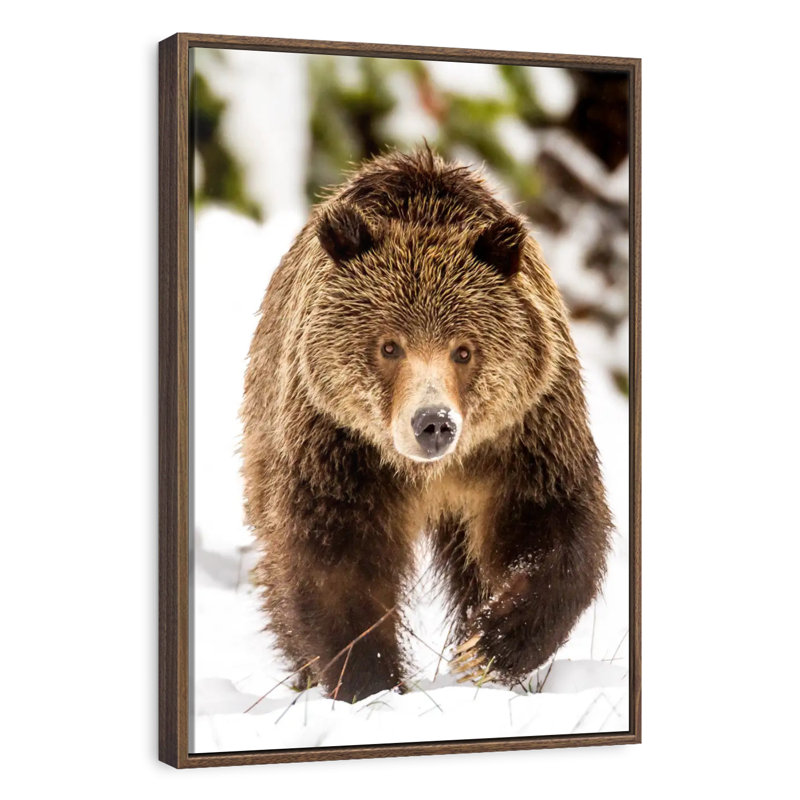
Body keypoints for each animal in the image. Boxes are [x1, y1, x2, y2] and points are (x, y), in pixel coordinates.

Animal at [241, 148, 612, 702]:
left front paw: (485, 649)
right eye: (388, 345)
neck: (428, 472)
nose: (433, 423)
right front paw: (369, 681)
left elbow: (553, 531)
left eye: (464, 349)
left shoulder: (525, 436)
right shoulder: (339, 451)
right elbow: (336, 565)